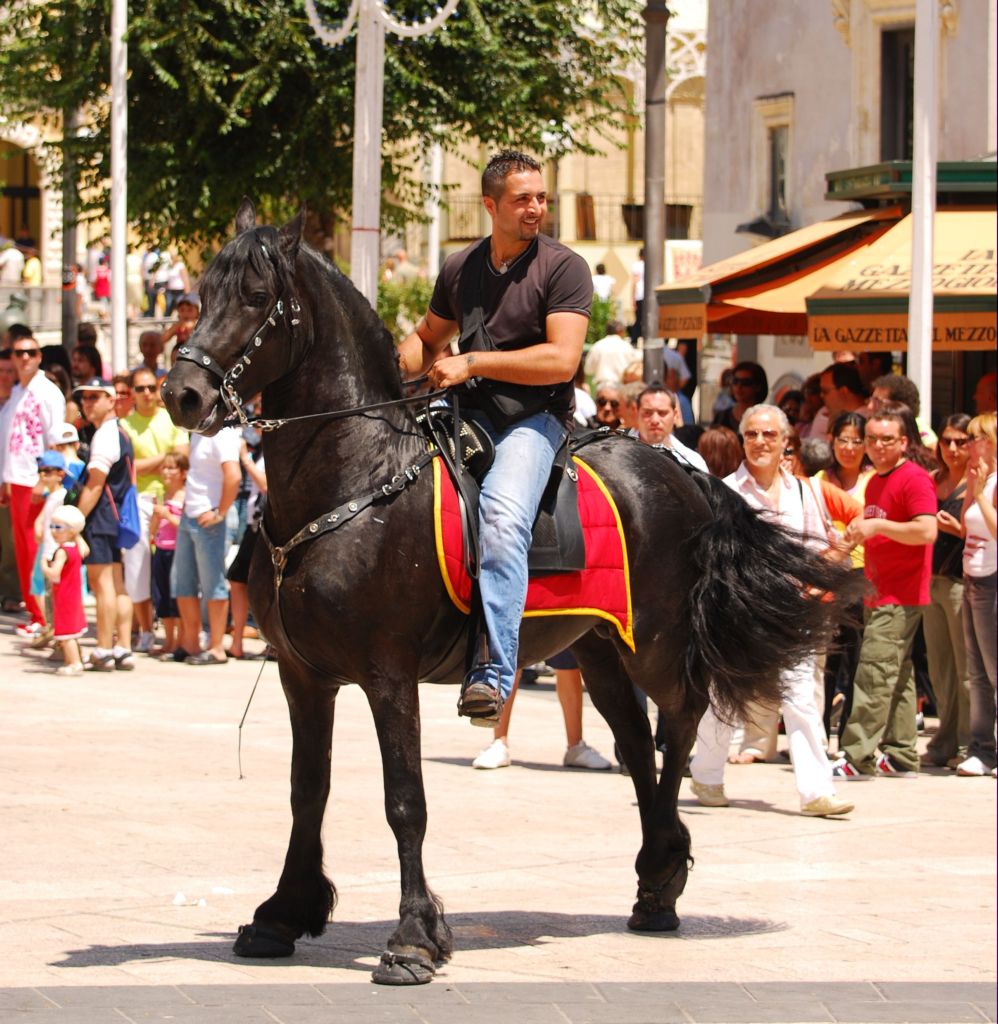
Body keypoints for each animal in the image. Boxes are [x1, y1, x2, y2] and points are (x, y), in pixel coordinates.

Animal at [161, 200, 849, 985]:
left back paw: (665, 870)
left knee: (677, 723)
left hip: (657, 642)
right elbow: (308, 790)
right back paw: (654, 878)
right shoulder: (305, 676)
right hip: (598, 645)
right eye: (202, 292)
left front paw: (413, 938)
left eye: (254, 297)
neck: (354, 478)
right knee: (634, 740)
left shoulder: (388, 674)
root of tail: (680, 467)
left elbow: (405, 800)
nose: (182, 394)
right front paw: (283, 911)